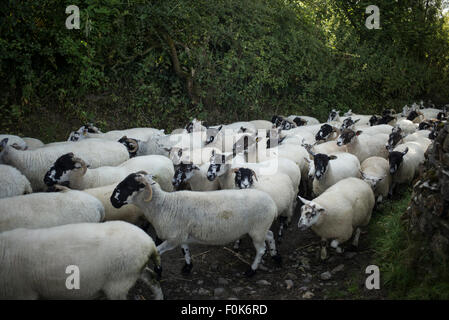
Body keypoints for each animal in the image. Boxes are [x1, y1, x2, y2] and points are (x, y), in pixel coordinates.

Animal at [110, 171, 280, 276]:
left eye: (129, 186)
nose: (112, 200)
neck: (164, 205)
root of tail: (272, 203)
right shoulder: (182, 235)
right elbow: (185, 251)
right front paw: (187, 267)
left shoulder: (173, 238)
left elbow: (157, 251)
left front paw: (158, 270)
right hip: (260, 229)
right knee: (270, 235)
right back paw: (275, 256)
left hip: (257, 230)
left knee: (261, 250)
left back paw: (252, 270)